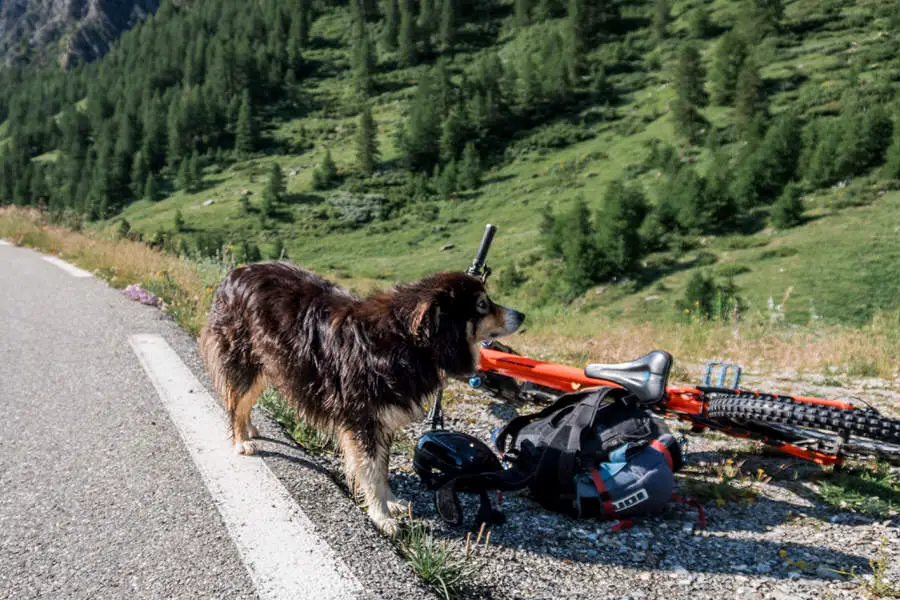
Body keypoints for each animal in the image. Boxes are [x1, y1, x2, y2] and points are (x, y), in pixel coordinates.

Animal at [197, 262, 520, 536]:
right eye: (482, 305)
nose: (522, 315)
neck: (406, 339)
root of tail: (233, 274)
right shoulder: (362, 420)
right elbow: (370, 472)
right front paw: (381, 516)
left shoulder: (383, 419)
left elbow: (382, 470)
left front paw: (390, 503)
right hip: (247, 359)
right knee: (235, 402)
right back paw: (240, 440)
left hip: (269, 363)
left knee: (243, 402)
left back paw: (249, 428)